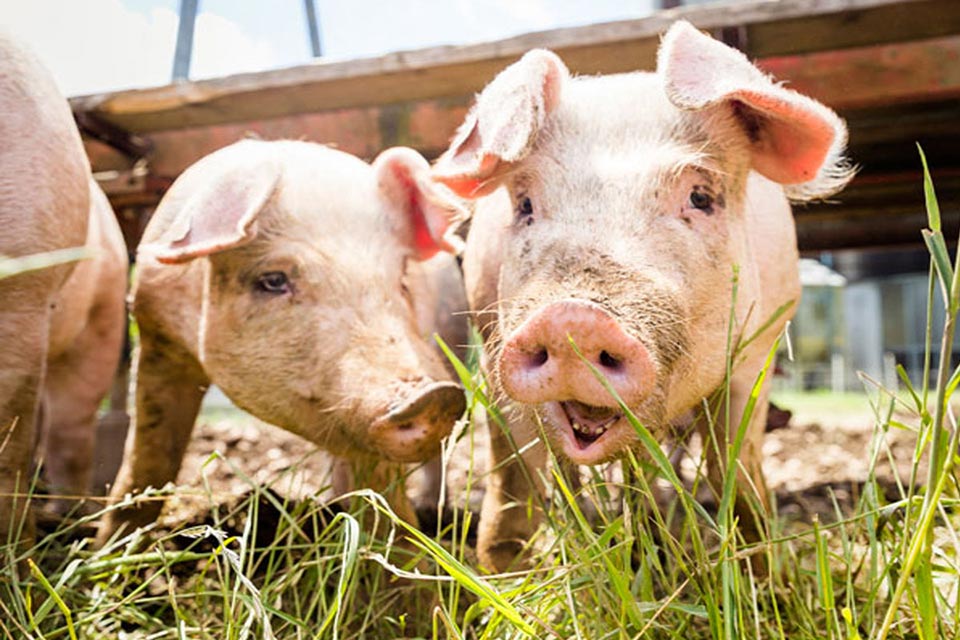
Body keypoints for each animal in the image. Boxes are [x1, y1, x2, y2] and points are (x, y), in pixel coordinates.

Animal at [97, 139, 468, 544]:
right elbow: (151, 451)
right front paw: (110, 544)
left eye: (401, 280)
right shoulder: (157, 331)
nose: (433, 397)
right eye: (273, 280)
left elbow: (379, 485)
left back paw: (429, 510)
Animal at [432, 21, 853, 571]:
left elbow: (737, 470)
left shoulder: (757, 349)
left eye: (700, 197)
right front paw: (500, 576)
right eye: (524, 204)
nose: (573, 318)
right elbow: (513, 482)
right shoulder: (491, 350)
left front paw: (765, 576)